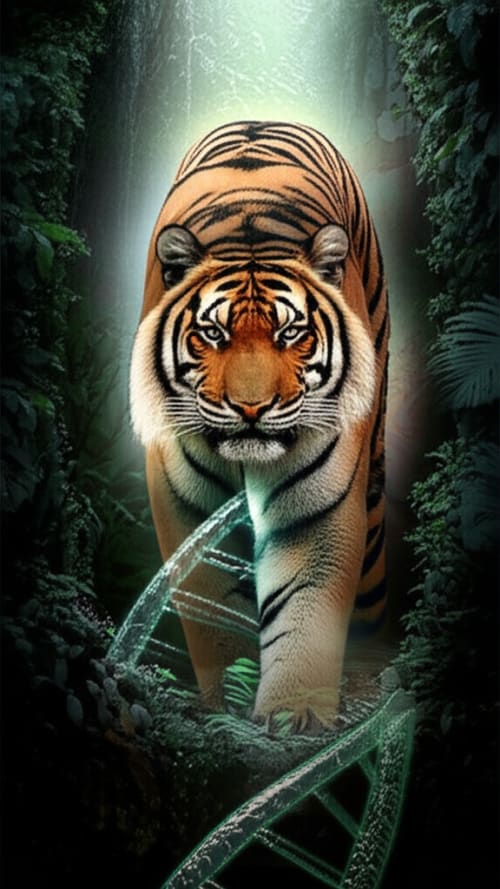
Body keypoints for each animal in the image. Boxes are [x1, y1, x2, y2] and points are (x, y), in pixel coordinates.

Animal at [130, 120, 389, 732]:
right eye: (213, 333)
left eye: (291, 333)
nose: (252, 408)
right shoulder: (184, 496)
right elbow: (211, 604)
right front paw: (225, 707)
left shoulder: (319, 500)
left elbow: (306, 603)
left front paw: (296, 714)